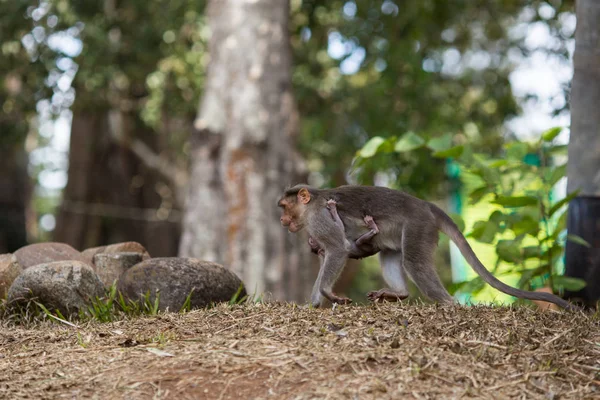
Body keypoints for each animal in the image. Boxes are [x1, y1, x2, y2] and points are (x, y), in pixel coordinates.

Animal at [278, 183, 580, 310]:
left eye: (283, 207)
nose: (281, 220)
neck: (311, 205)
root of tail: (425, 205)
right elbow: (331, 253)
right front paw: (314, 303)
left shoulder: (318, 219)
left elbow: (338, 249)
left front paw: (326, 294)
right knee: (389, 254)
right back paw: (399, 293)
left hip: (418, 227)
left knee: (413, 261)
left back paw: (448, 304)